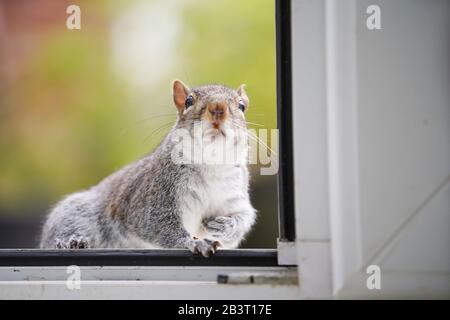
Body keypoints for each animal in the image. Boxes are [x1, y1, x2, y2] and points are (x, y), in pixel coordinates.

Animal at [40, 80, 258, 258]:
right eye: (188, 101)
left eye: (241, 105)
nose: (218, 108)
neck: (212, 162)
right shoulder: (154, 198)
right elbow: (158, 227)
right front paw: (193, 243)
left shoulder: (233, 196)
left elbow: (243, 218)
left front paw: (227, 225)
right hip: (75, 213)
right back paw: (70, 242)